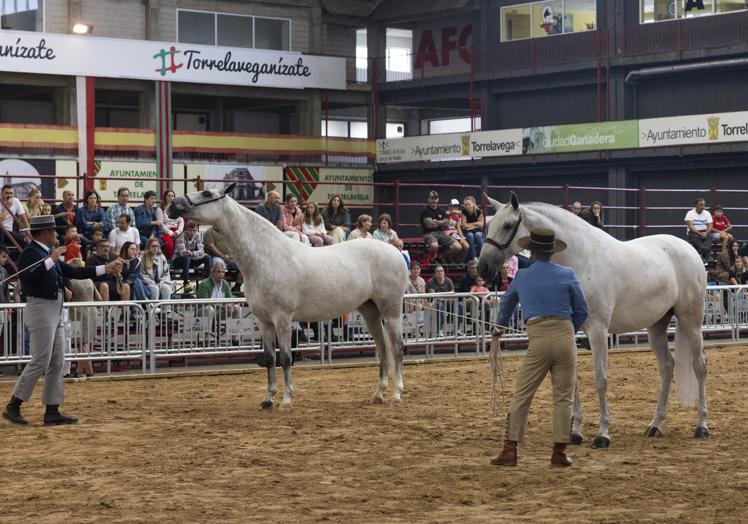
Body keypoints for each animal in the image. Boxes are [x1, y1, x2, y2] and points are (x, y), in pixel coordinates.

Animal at [170, 184, 410, 410]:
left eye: (207, 194)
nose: (173, 205)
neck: (267, 256)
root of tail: (395, 252)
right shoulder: (264, 321)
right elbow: (269, 359)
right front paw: (268, 399)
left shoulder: (282, 319)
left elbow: (285, 358)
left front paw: (286, 400)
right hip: (370, 311)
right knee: (382, 348)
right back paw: (378, 394)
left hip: (391, 309)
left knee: (397, 347)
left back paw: (396, 396)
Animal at [476, 194, 712, 448]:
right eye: (489, 225)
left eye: (508, 225)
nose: (483, 267)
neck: (582, 260)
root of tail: (689, 249)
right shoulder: (570, 330)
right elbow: (572, 378)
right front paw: (575, 433)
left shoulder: (598, 331)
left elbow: (601, 379)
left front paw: (603, 435)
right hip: (657, 325)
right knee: (667, 366)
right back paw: (654, 425)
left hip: (690, 320)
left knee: (699, 365)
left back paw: (702, 426)